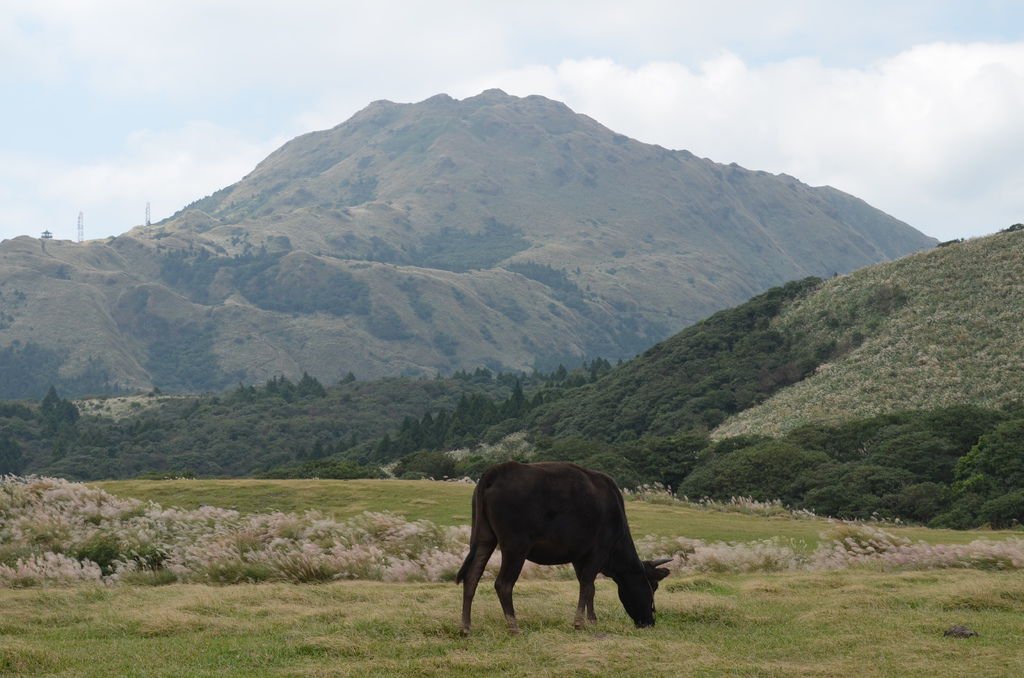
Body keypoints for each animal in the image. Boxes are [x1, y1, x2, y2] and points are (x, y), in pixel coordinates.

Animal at [456, 462, 671, 639]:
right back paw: (514, 628)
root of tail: (496, 471)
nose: (650, 622)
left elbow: (589, 587)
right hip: (515, 545)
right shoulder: (599, 551)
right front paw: (580, 623)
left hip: (483, 537)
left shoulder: (578, 556)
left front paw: (591, 620)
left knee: (472, 576)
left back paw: (466, 628)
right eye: (653, 586)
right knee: (503, 584)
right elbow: (587, 585)